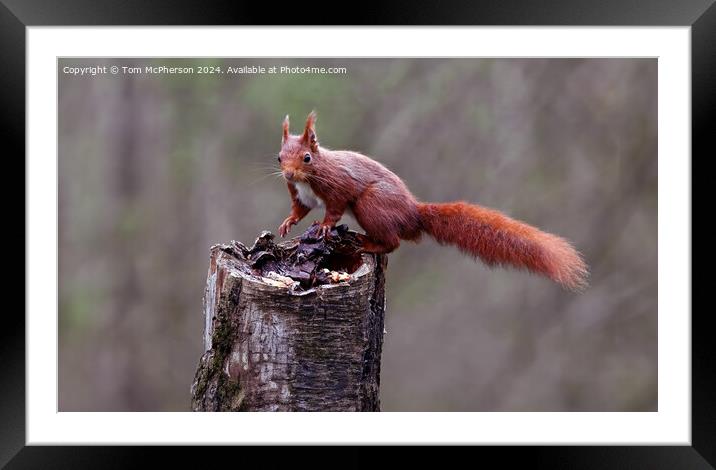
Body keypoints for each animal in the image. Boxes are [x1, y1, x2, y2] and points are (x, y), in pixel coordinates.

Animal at [274, 113, 588, 290]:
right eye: (279, 157)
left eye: (307, 157)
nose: (288, 173)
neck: (310, 177)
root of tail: (413, 212)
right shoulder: (299, 194)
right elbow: (300, 209)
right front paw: (288, 222)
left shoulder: (338, 185)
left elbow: (335, 208)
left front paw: (325, 227)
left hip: (370, 205)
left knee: (393, 242)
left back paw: (368, 243)